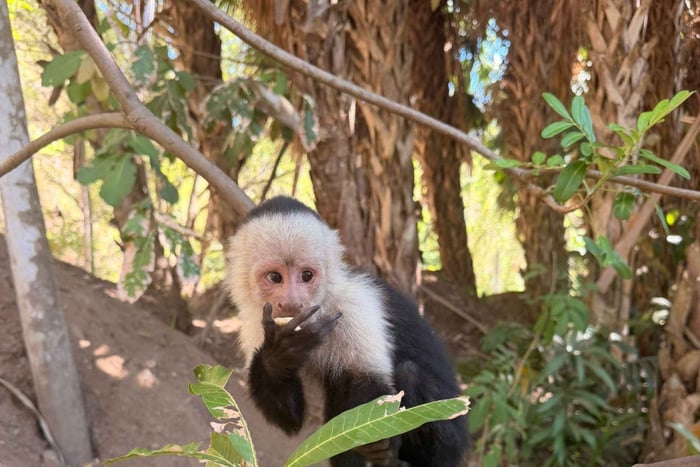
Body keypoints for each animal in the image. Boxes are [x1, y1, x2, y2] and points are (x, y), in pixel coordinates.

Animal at [225, 196, 467, 467]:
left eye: (306, 275)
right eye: (275, 277)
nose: (292, 303)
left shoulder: (355, 304)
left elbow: (370, 381)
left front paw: (377, 441)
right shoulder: (255, 325)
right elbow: (290, 418)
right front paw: (279, 355)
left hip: (450, 441)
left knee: (409, 372)